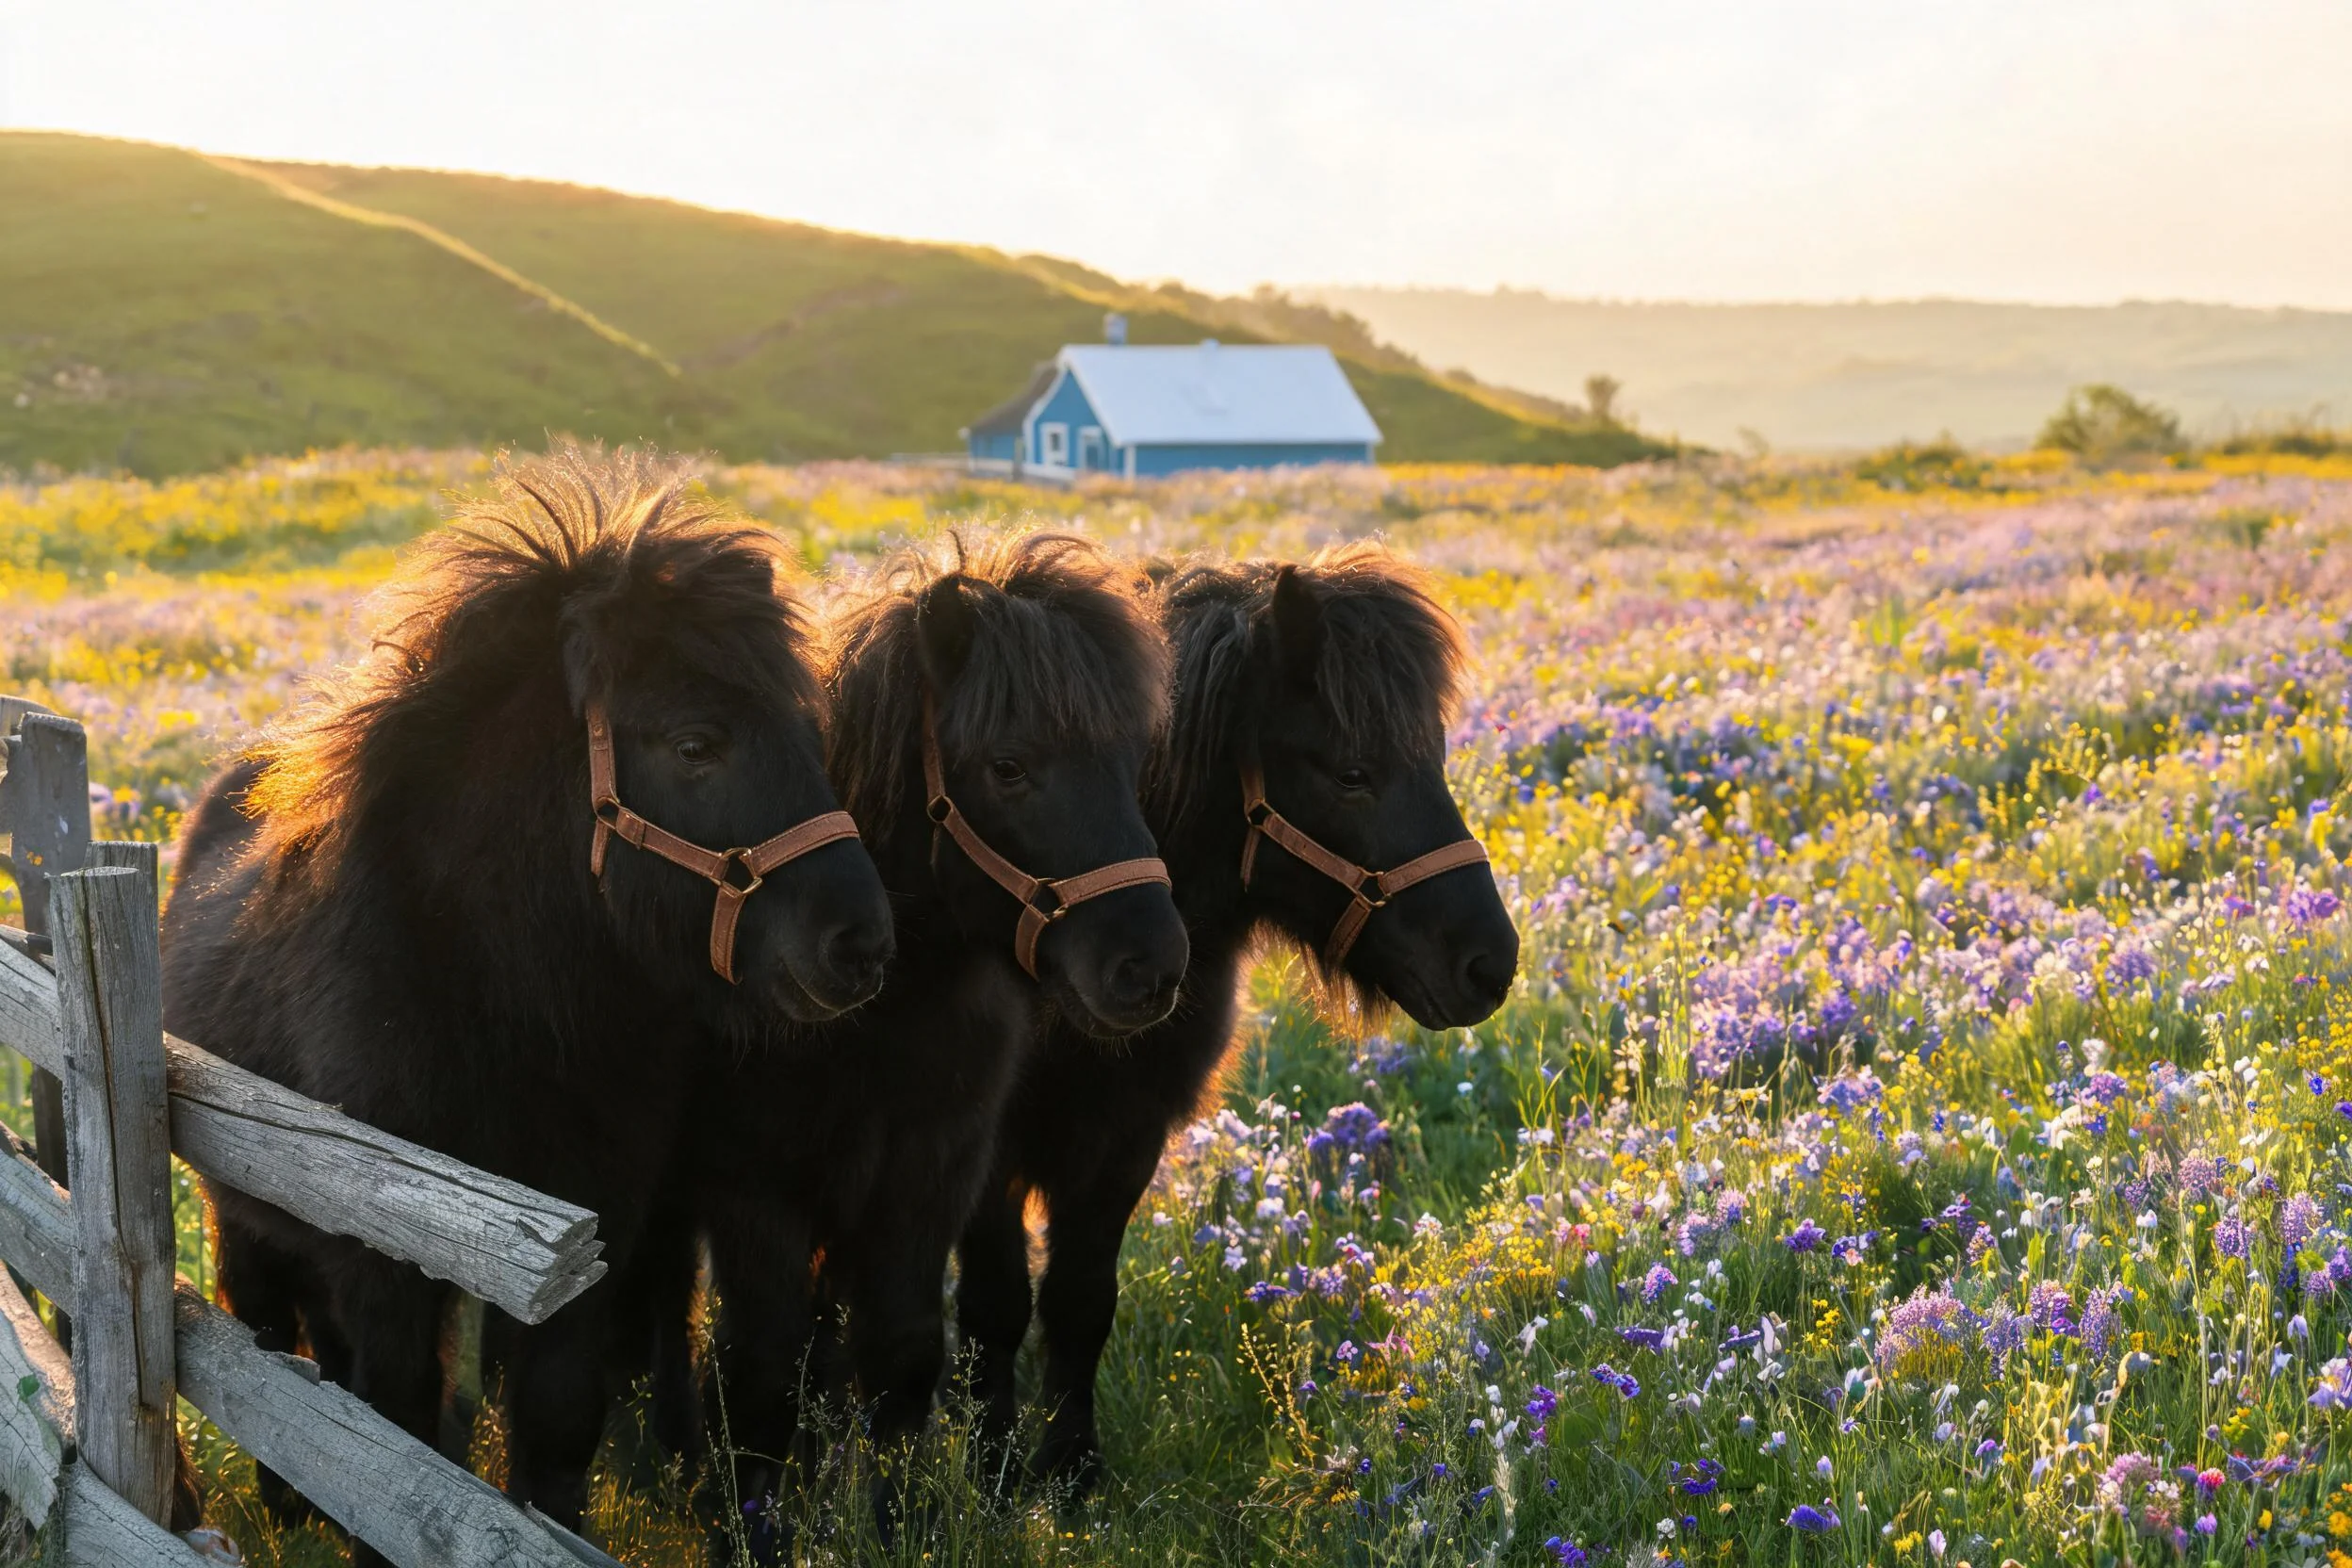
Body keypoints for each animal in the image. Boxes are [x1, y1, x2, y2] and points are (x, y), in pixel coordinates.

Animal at [159, 448, 896, 1549]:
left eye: (814, 736)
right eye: (695, 744)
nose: (862, 944)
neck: (493, 995)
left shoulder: (585, 1237)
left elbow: (553, 1420)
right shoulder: (387, 1250)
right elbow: (397, 1428)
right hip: (244, 1209)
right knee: (262, 1322)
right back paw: (289, 1507)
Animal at [645, 530, 1190, 1551]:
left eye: (1130, 756)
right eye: (1010, 766)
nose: (1151, 966)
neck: (878, 1017)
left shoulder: (931, 1173)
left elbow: (900, 1356)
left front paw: (898, 1524)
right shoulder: (754, 1189)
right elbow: (763, 1368)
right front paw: (752, 1527)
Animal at [954, 546, 1521, 1492]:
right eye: (1352, 772)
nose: (1491, 962)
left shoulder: (1127, 1136)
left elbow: (1080, 1300)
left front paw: (1071, 1468)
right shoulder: (983, 1148)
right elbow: (993, 1309)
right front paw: (991, 1475)